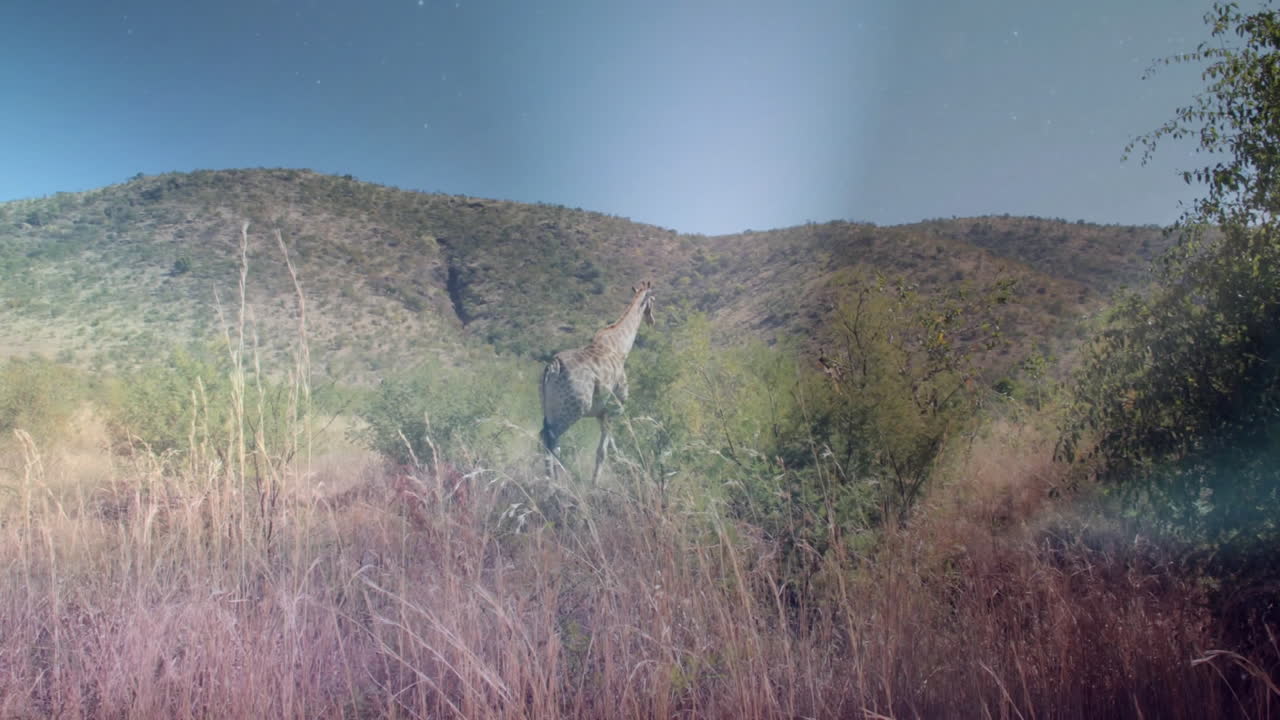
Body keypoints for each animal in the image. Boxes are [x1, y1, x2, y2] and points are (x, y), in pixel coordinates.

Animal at [540, 280, 656, 482]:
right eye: (654, 300)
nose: (652, 320)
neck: (621, 348)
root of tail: (553, 367)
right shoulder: (614, 408)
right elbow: (602, 451)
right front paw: (594, 483)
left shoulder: (601, 414)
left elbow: (611, 448)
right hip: (574, 410)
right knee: (552, 441)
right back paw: (555, 482)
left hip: (550, 409)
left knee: (547, 438)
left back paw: (552, 479)